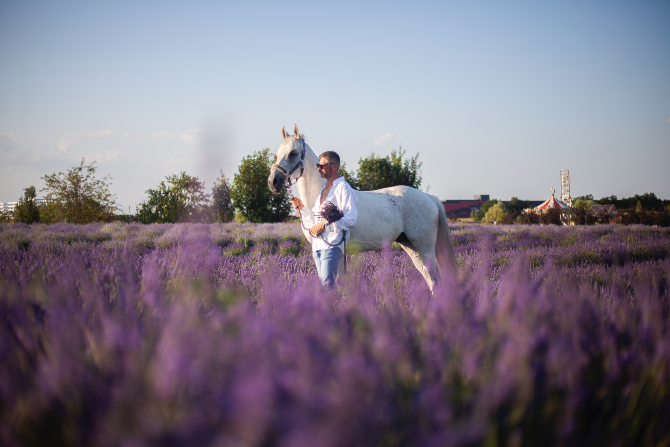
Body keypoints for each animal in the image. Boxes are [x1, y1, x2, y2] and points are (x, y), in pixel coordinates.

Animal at [270, 125, 460, 290]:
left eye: (293, 153)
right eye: (277, 154)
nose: (273, 181)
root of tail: (429, 198)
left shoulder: (338, 251)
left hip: (425, 247)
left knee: (435, 280)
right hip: (412, 248)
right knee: (430, 280)